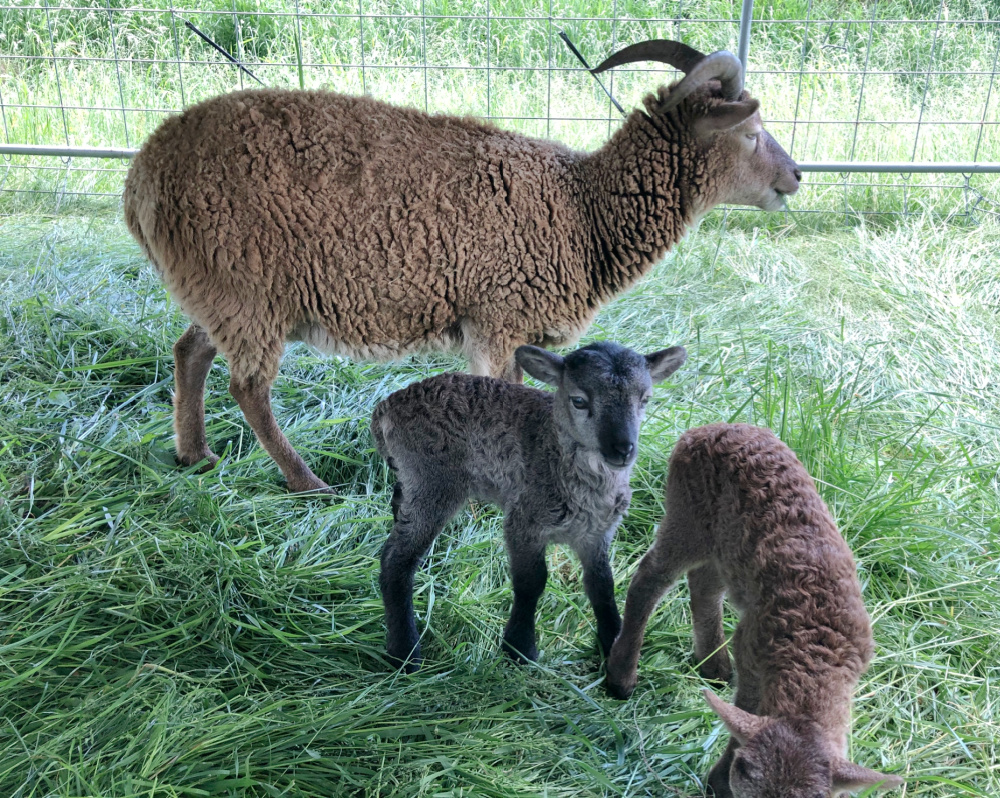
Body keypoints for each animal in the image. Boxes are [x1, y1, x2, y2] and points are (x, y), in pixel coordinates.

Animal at [372, 340, 684, 672]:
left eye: (645, 399)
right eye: (579, 400)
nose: (622, 449)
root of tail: (385, 407)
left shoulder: (597, 533)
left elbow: (602, 584)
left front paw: (612, 644)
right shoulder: (524, 521)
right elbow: (531, 582)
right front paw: (519, 648)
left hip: (411, 480)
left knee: (398, 509)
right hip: (433, 480)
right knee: (396, 559)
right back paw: (405, 653)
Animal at [604, 428, 904, 796]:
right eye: (748, 780)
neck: (814, 650)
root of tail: (706, 429)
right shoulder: (751, 650)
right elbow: (746, 709)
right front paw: (718, 781)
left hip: (724, 544)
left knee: (704, 585)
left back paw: (713, 666)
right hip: (688, 514)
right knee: (650, 578)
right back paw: (622, 676)